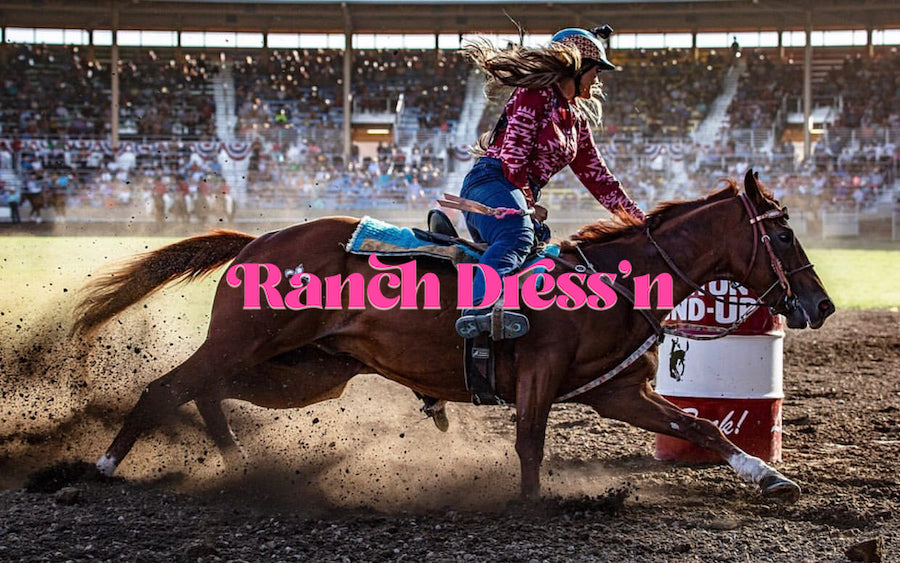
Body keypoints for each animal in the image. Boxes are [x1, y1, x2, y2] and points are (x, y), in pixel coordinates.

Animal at [74, 172, 832, 502]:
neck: (611, 280)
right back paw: (103, 467)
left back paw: (240, 466)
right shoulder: (538, 377)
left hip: (304, 370)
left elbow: (702, 426)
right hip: (250, 345)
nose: (821, 305)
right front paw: (530, 506)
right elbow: (530, 445)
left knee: (203, 393)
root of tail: (256, 241)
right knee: (167, 386)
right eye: (783, 234)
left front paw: (770, 476)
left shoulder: (617, 392)